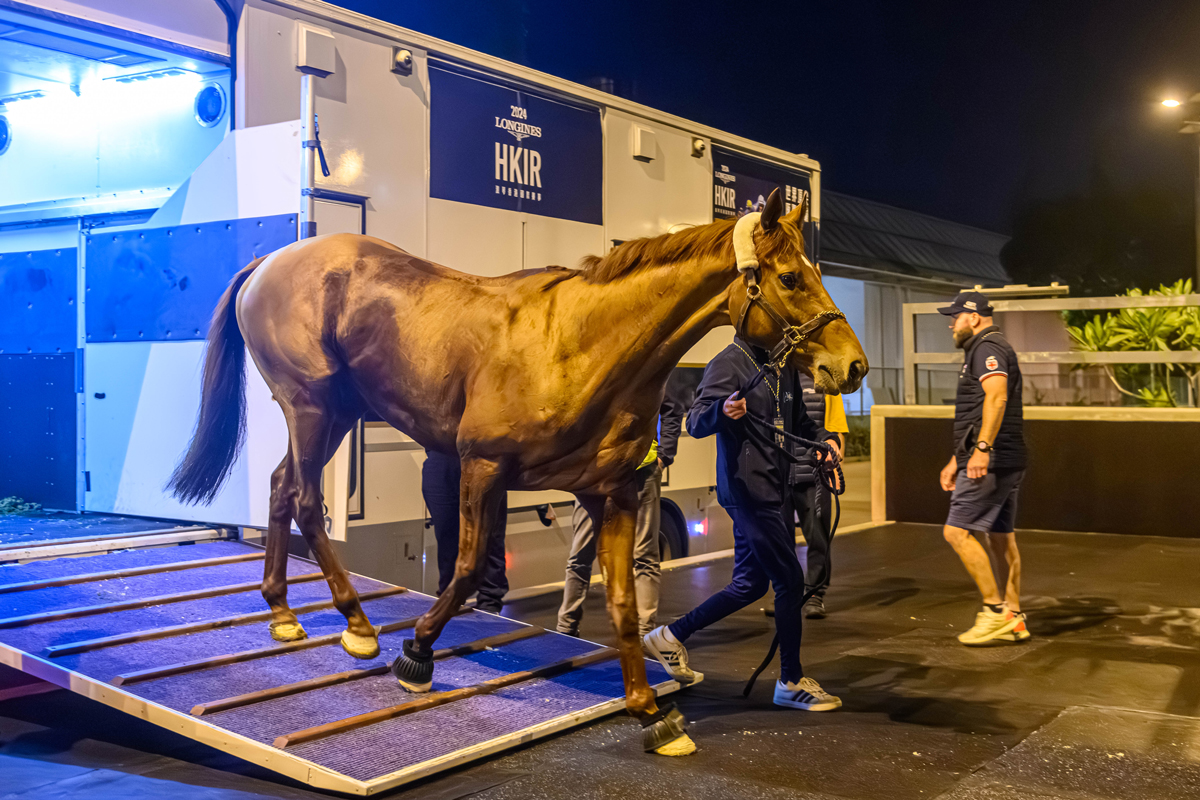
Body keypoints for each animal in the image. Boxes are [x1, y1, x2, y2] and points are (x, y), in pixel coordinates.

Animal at [166, 189, 864, 758]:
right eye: (790, 277)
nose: (851, 367)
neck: (579, 345)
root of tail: (270, 263)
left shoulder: (610, 493)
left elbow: (621, 603)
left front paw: (652, 715)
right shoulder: (482, 467)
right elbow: (469, 568)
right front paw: (416, 653)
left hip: (333, 413)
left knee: (282, 486)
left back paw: (283, 611)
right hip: (311, 406)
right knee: (308, 499)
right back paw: (359, 628)